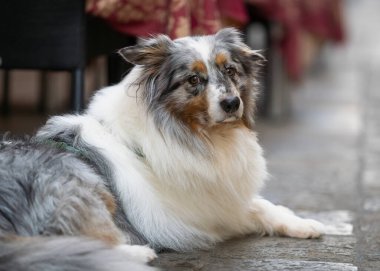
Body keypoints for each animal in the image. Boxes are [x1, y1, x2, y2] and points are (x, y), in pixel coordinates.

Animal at [0, 28, 324, 270]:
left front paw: (306, 224)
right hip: (77, 183)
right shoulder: (196, 214)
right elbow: (251, 210)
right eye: (193, 79)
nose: (232, 103)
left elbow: (265, 206)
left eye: (230, 70)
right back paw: (136, 253)